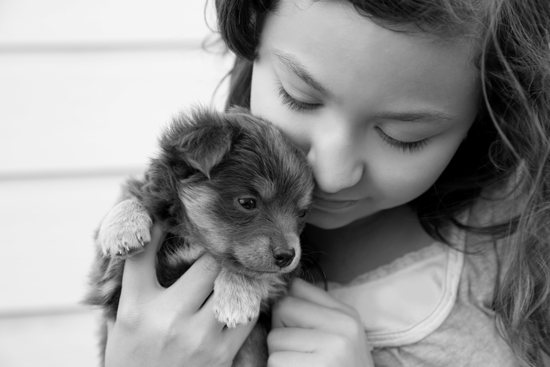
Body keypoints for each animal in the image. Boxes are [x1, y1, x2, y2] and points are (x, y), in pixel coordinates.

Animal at [85, 108, 314, 366]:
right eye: (247, 202)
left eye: (302, 213)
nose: (287, 256)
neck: (194, 239)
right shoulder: (108, 281)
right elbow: (133, 196)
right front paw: (122, 229)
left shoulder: (283, 278)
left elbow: (246, 268)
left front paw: (236, 298)